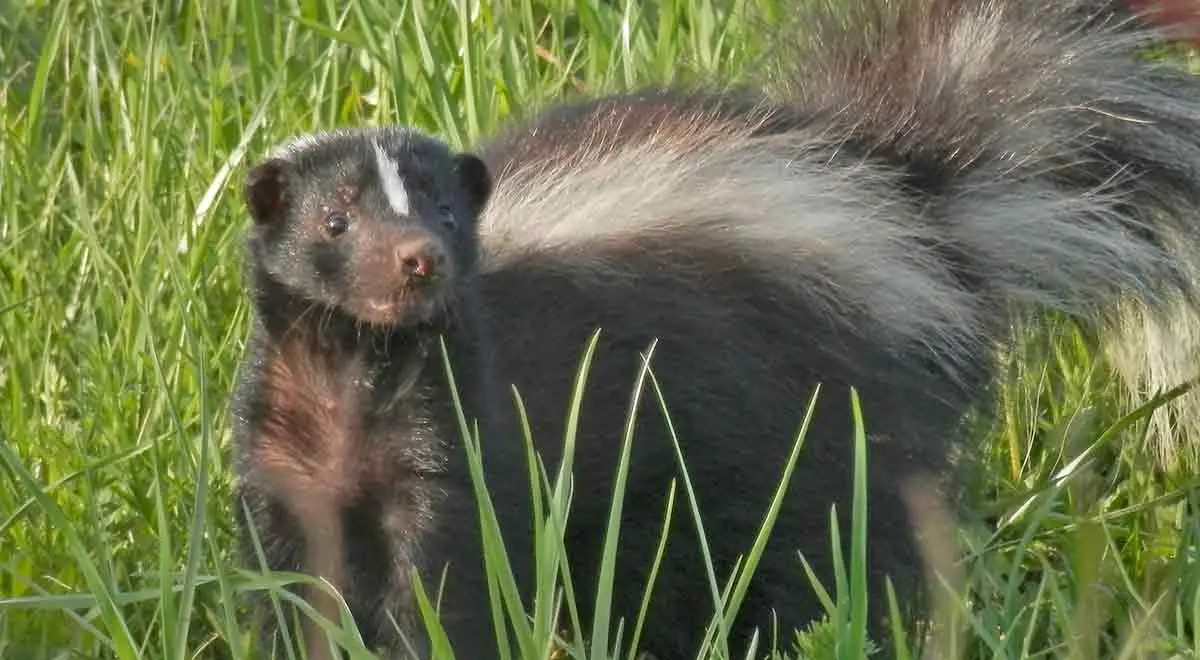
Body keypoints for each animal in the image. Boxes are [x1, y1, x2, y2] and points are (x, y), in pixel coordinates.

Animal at [231, 0, 1200, 657]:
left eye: (442, 210)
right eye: (335, 223)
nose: (419, 260)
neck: (357, 373)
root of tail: (910, 198)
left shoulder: (452, 438)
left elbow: (447, 577)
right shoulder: (284, 461)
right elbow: (293, 579)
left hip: (822, 410)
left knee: (825, 552)